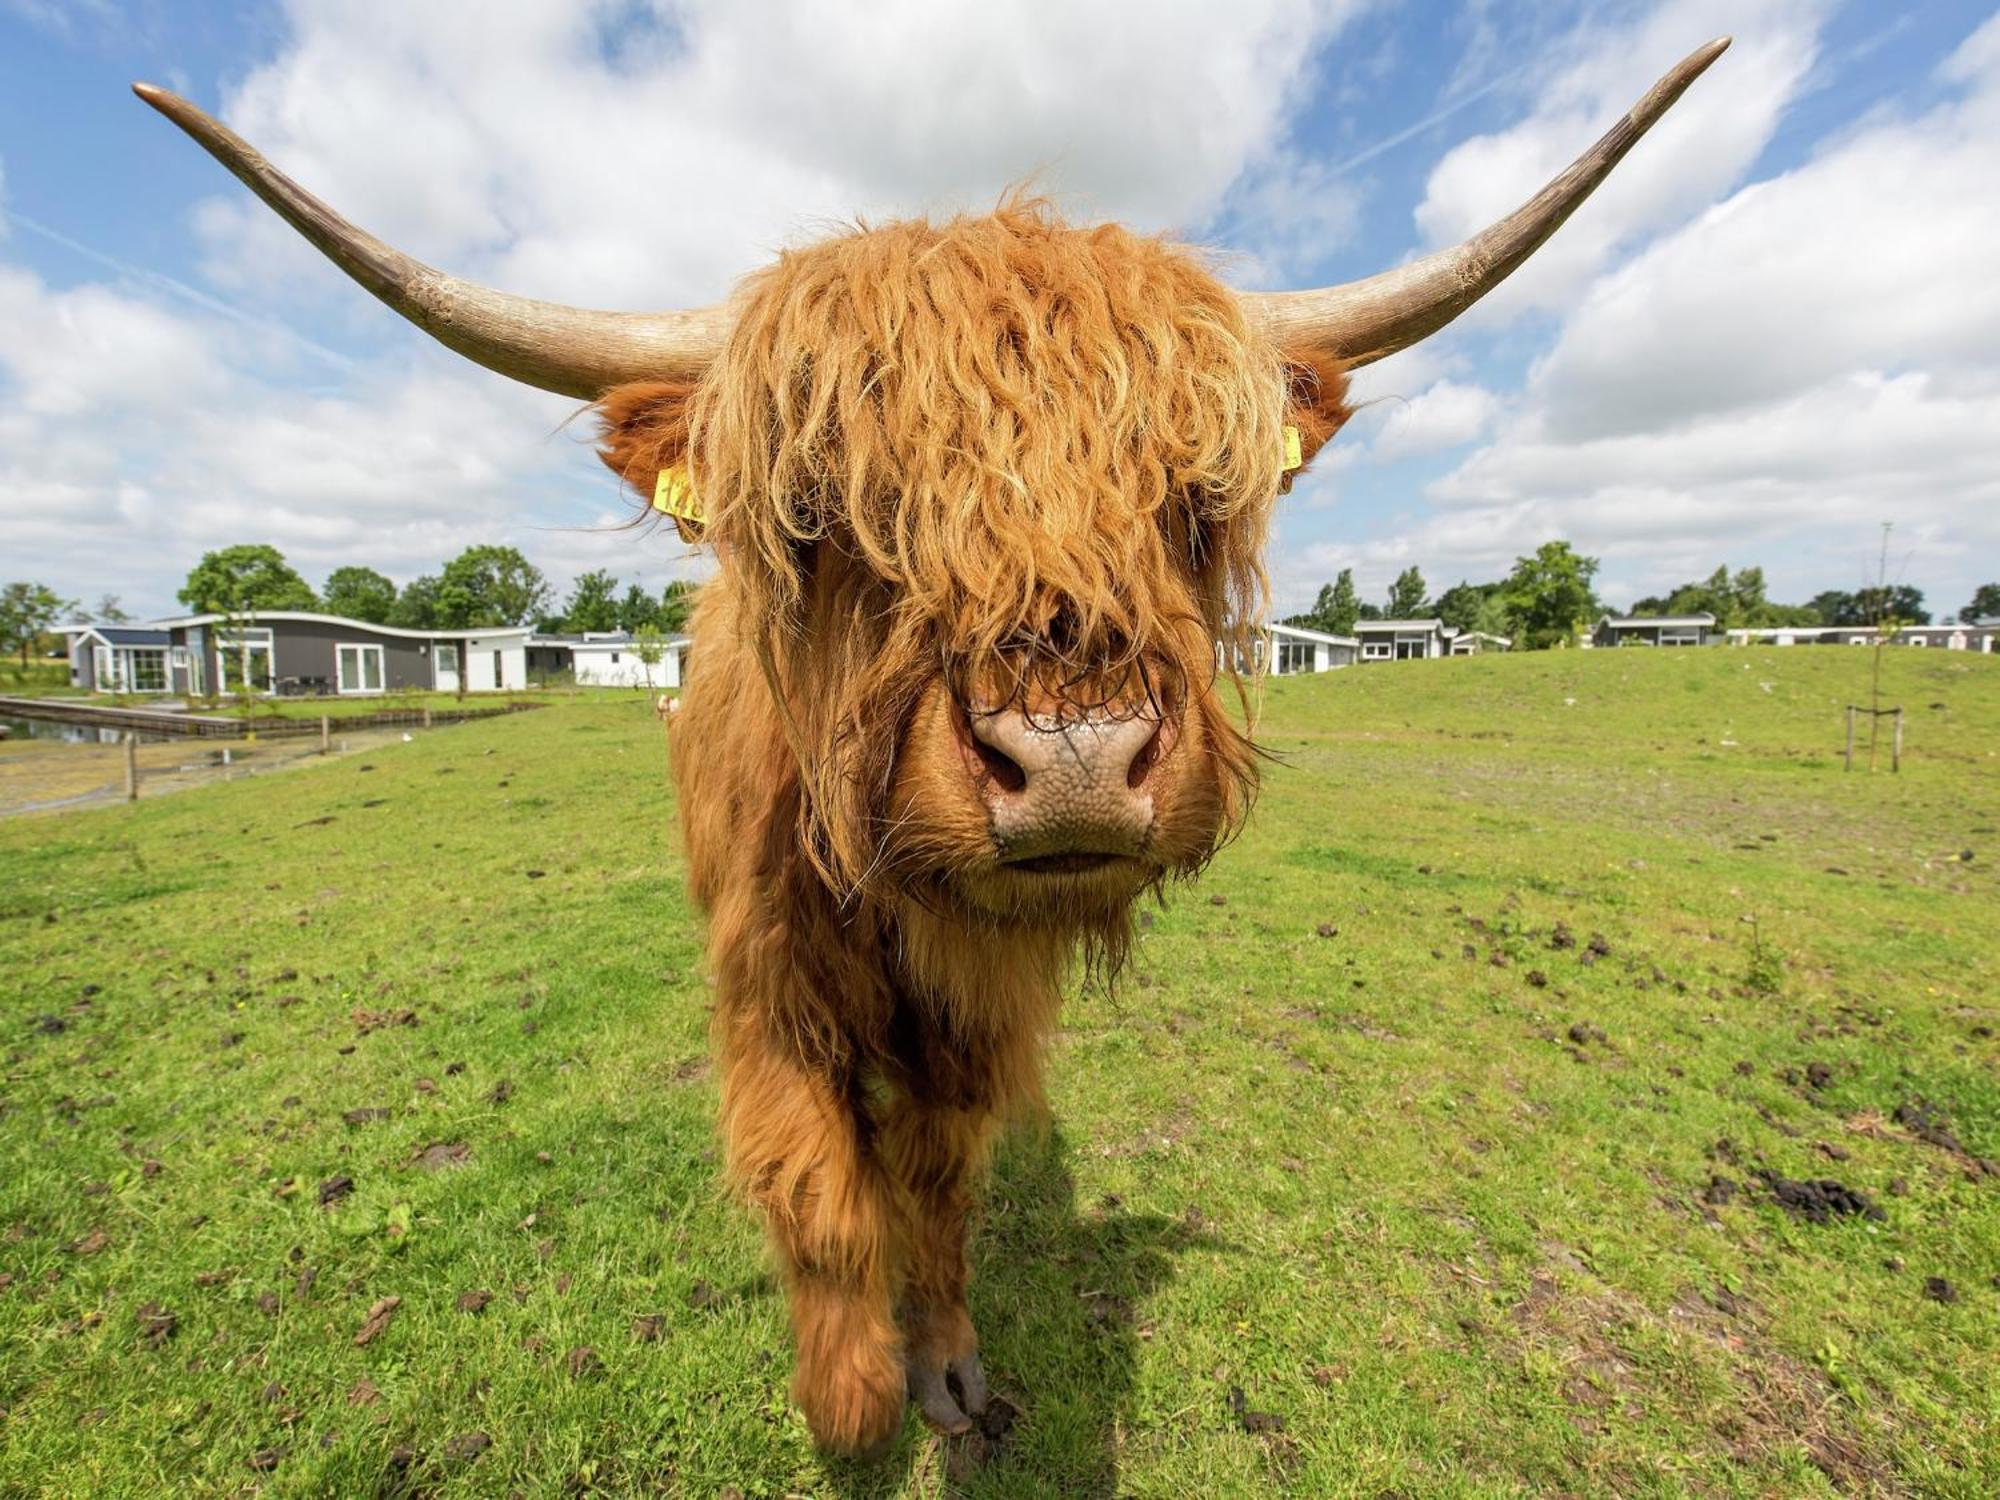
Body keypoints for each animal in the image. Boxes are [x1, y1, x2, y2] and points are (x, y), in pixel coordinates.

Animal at [141, 38, 1728, 1456]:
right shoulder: (765, 986)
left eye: (1190, 498)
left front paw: (949, 1371)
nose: (1075, 755)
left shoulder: (977, 1017)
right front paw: (848, 1400)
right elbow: (819, 1190)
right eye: (823, 510)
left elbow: (934, 1183)